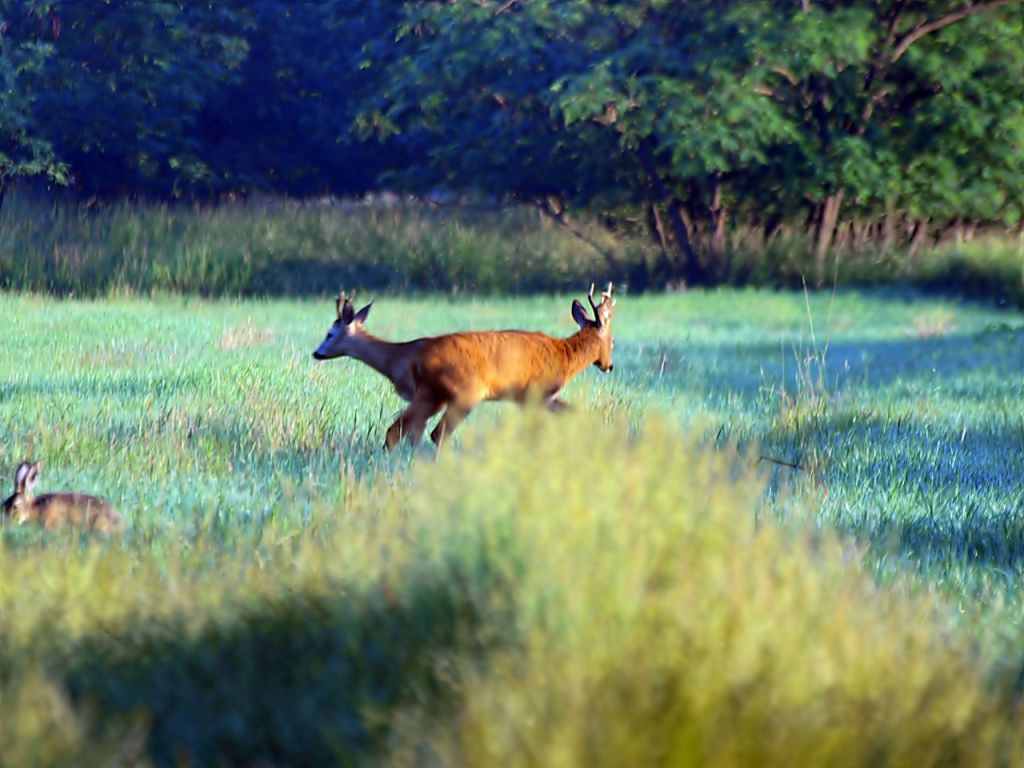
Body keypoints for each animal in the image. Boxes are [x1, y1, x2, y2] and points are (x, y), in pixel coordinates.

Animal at [311, 286, 614, 448]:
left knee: (405, 431)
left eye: (330, 333)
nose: (609, 366)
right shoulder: (535, 393)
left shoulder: (544, 397)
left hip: (434, 395)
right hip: (464, 392)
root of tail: (419, 358)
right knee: (432, 433)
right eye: (613, 340)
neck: (564, 355)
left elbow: (577, 415)